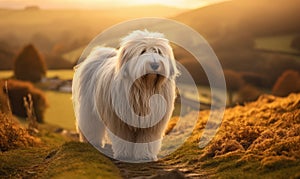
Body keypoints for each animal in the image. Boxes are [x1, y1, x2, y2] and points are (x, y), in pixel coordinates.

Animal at [72, 29, 179, 161]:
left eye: (158, 51)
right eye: (142, 51)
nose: (154, 65)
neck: (144, 87)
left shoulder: (152, 123)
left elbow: (147, 139)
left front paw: (145, 155)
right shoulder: (120, 121)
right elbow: (123, 137)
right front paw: (124, 154)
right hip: (88, 108)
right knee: (90, 124)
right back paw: (92, 142)